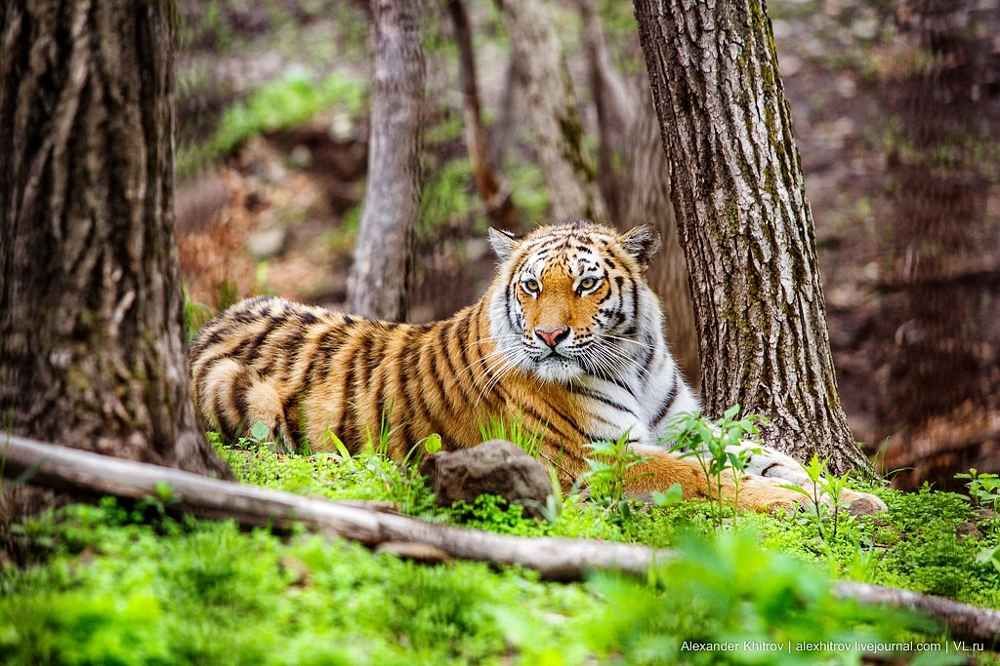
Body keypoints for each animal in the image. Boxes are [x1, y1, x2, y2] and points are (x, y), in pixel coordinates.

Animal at [188, 220, 884, 510]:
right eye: (529, 286)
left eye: (586, 284)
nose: (549, 336)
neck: (633, 358)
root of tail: (202, 331)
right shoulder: (597, 458)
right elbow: (705, 477)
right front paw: (812, 505)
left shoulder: (686, 423)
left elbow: (770, 456)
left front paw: (852, 496)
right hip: (242, 397)